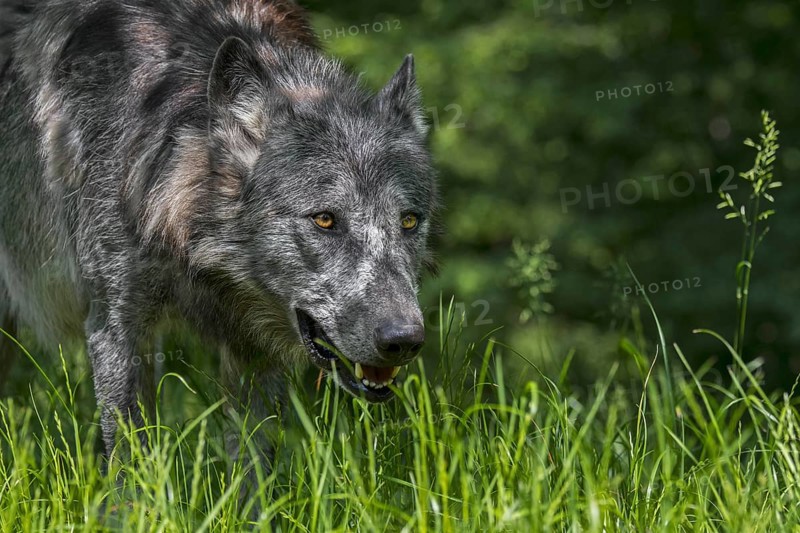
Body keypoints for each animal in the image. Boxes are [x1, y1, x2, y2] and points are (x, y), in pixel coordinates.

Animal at [0, 0, 437, 464]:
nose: (404, 340)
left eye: (409, 221)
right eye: (324, 219)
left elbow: (253, 466)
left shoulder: (255, 351)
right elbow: (131, 463)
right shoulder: (116, 328)